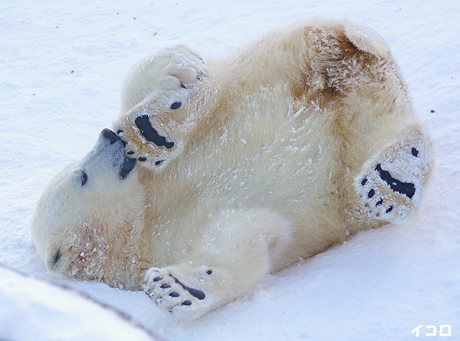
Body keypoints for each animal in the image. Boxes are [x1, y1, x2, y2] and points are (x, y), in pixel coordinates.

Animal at [31, 18, 432, 320]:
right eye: (80, 176)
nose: (107, 138)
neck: (142, 217)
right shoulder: (165, 243)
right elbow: (243, 237)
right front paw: (180, 289)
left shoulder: (151, 181)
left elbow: (136, 85)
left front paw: (176, 73)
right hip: (347, 164)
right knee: (377, 124)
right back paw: (392, 182)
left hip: (268, 67)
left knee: (223, 87)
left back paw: (161, 121)